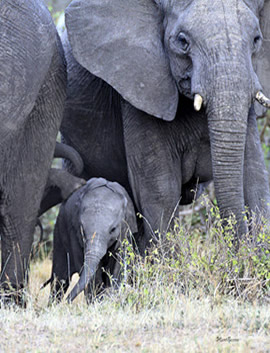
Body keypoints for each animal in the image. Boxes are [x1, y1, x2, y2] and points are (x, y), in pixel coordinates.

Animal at [61, 0, 270, 250]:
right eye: (182, 41)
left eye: (256, 39)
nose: (239, 245)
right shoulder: (140, 88)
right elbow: (160, 191)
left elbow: (253, 177)